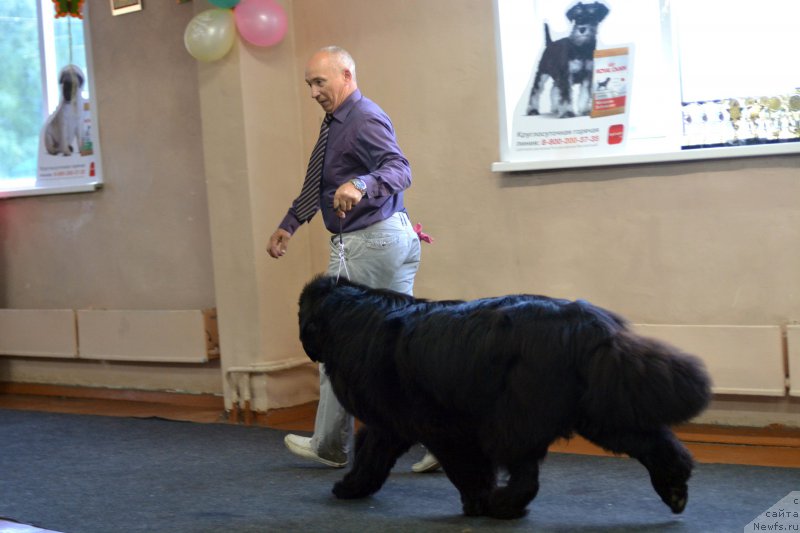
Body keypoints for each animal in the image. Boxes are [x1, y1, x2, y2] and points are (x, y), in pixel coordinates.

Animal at [296, 276, 708, 516]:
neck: (350, 316)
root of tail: (584, 323)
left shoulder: (440, 426)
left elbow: (467, 468)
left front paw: (477, 501)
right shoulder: (391, 423)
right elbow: (371, 454)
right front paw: (353, 486)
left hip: (517, 415)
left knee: (526, 474)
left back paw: (503, 504)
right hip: (596, 412)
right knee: (654, 442)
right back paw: (674, 489)